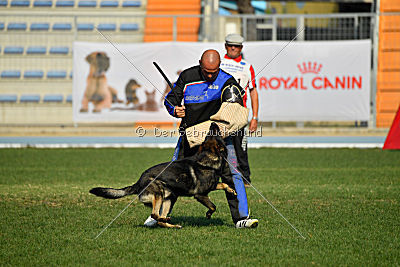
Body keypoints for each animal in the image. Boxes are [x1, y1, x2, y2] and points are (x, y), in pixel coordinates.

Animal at [89, 123, 236, 228]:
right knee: (154, 214)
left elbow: (223, 184)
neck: (207, 159)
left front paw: (231, 190)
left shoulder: (211, 186)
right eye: (214, 133)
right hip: (159, 194)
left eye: (209, 135)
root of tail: (138, 183)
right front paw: (209, 214)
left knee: (159, 219)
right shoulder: (200, 194)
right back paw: (165, 218)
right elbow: (213, 206)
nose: (213, 123)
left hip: (169, 198)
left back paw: (172, 224)